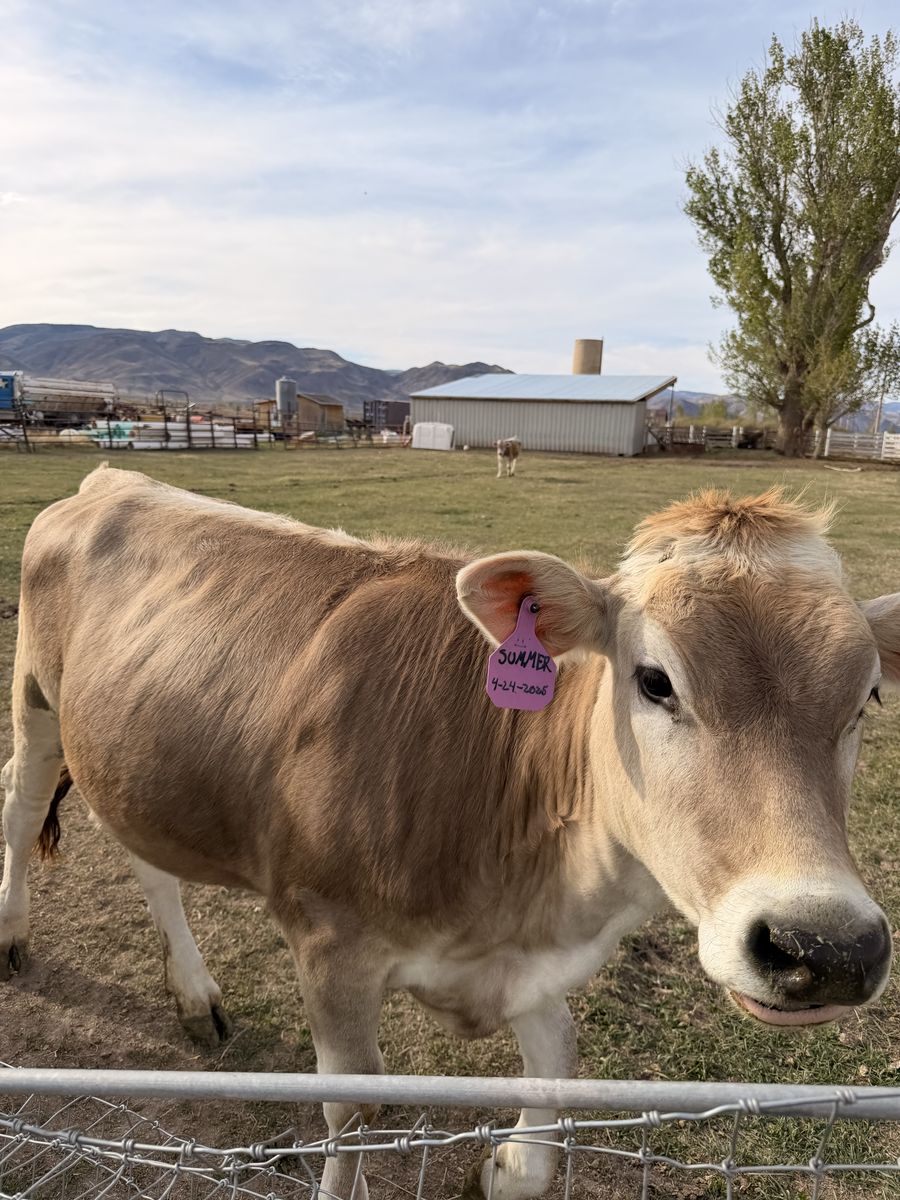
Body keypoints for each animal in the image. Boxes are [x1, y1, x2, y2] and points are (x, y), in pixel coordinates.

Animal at [2, 467, 899, 1200]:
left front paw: (507, 1166)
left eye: (869, 698)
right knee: (19, 807)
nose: (824, 946)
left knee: (146, 861)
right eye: (654, 681)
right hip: (36, 699)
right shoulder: (328, 939)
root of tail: (111, 479)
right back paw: (15, 936)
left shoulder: (518, 963)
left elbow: (559, 1063)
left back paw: (193, 993)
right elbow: (351, 1110)